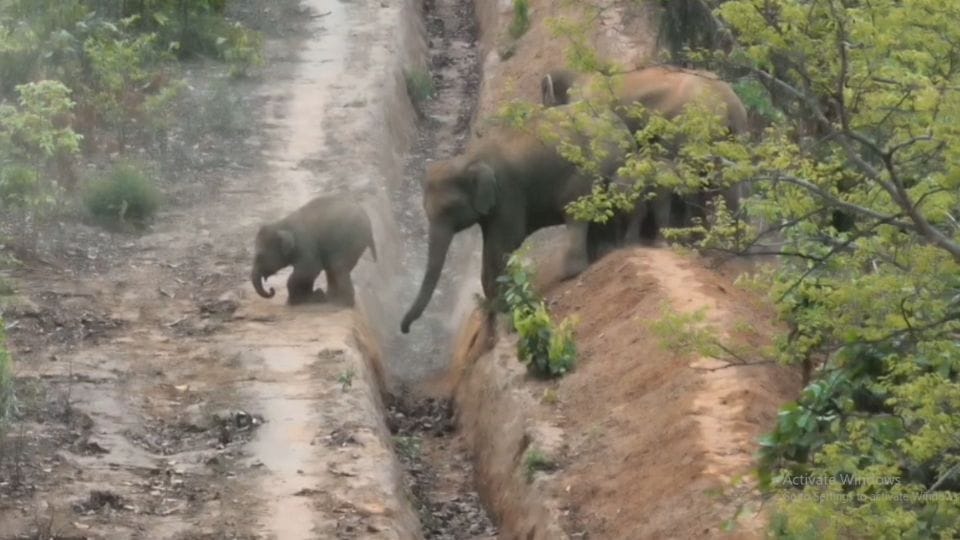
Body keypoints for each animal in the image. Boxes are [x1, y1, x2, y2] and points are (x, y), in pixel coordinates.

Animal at [400, 105, 635, 334]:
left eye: (449, 209)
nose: (405, 329)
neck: (469, 159)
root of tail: (619, 123)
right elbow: (492, 245)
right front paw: (494, 307)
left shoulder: (507, 192)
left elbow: (504, 243)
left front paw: (500, 307)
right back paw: (602, 254)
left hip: (593, 163)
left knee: (576, 209)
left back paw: (572, 271)